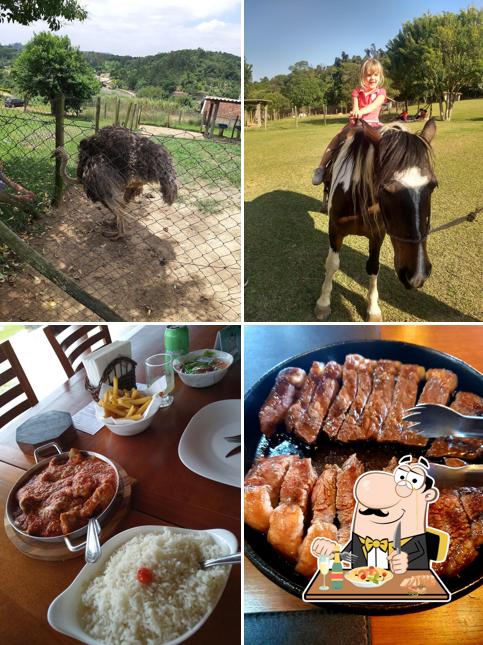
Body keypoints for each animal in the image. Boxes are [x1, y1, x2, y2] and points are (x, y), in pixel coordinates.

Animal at [318, 118, 438, 320]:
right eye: (385, 188)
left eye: (433, 185)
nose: (418, 274)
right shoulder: (335, 230)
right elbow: (332, 264)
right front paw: (323, 302)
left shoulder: (377, 235)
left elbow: (373, 267)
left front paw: (373, 308)